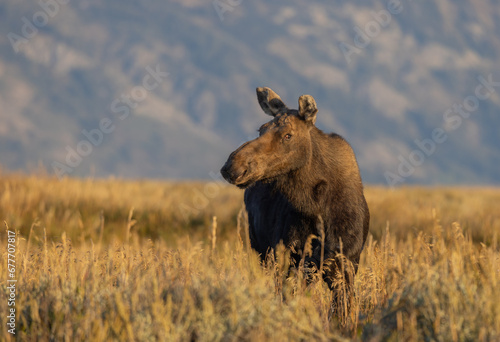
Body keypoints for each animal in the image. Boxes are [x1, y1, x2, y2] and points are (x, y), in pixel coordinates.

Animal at [221, 87, 370, 300]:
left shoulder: (345, 262)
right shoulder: (290, 259)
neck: (319, 208)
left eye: (288, 135)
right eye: (261, 129)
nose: (233, 166)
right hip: (263, 252)